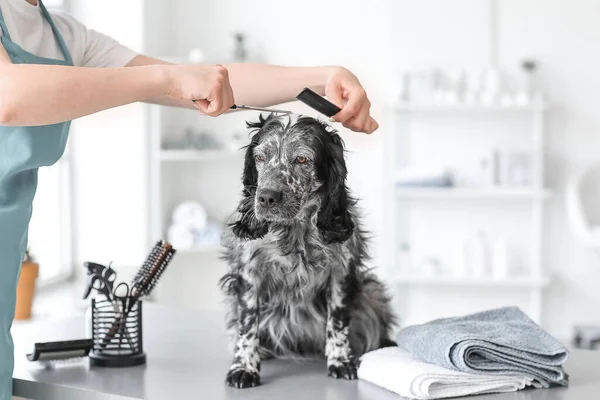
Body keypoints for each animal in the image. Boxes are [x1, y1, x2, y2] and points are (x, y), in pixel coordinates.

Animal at [218, 114, 396, 390]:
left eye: (301, 159)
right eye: (261, 157)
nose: (266, 198)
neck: (295, 231)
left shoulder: (341, 272)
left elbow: (337, 321)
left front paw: (340, 361)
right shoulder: (249, 273)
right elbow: (247, 324)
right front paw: (244, 367)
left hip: (371, 291)